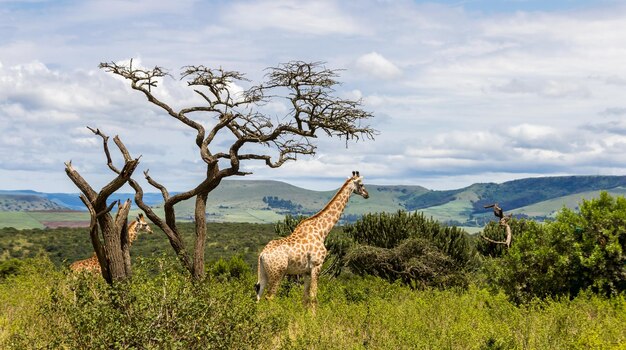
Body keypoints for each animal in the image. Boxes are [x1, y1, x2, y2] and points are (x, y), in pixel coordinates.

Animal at [255, 171, 368, 304]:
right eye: (361, 184)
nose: (366, 194)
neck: (322, 231)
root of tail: (262, 254)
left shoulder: (306, 271)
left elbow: (305, 297)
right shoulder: (316, 265)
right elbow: (314, 296)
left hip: (263, 273)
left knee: (258, 296)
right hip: (277, 273)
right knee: (270, 297)